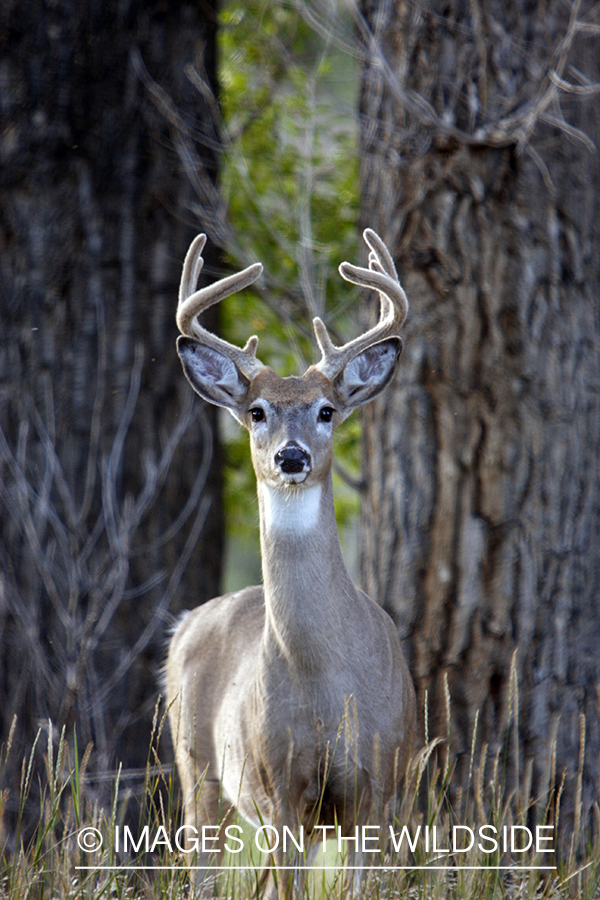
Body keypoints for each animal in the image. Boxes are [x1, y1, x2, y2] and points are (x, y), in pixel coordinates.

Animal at [166, 229, 414, 896]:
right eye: (258, 412)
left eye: (326, 410)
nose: (292, 457)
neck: (327, 681)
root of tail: (185, 624)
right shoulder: (281, 791)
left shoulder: (378, 787)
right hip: (198, 769)